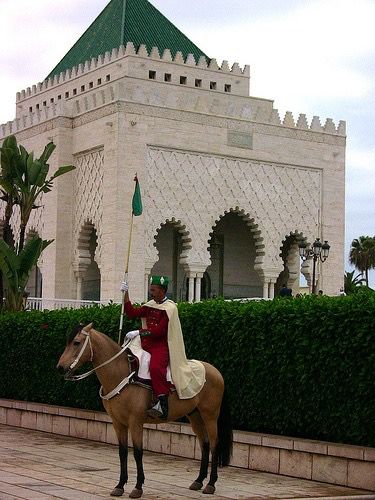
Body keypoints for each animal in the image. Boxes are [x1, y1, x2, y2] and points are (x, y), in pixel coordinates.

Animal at [56, 322, 234, 498]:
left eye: (76, 342)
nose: (60, 367)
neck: (121, 375)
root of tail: (215, 371)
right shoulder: (117, 423)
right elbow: (122, 452)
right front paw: (120, 485)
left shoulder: (135, 422)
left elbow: (137, 452)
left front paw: (137, 487)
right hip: (194, 416)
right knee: (204, 444)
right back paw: (198, 481)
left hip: (210, 416)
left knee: (214, 444)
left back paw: (211, 484)